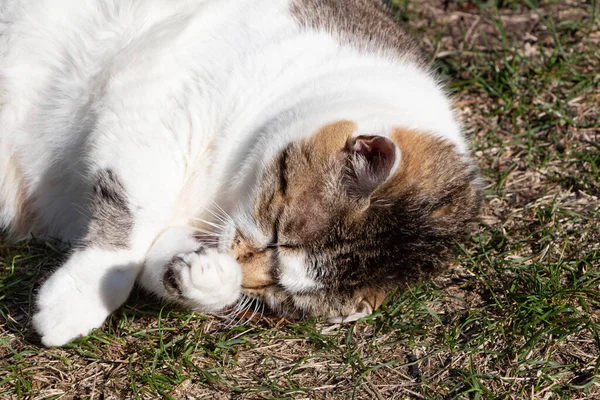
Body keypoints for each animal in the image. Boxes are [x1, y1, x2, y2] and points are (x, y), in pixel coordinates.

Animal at [0, 0, 478, 346]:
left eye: (281, 294)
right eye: (279, 232)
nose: (240, 263)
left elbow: (163, 258)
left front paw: (208, 277)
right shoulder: (158, 102)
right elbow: (134, 219)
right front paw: (75, 302)